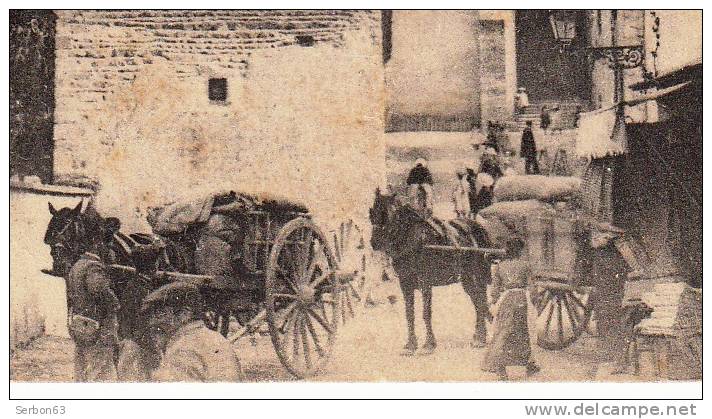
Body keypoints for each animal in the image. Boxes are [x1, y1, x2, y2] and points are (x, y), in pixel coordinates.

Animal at [370, 189, 492, 356]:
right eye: (372, 212)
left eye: (392, 214)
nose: (374, 242)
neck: (414, 240)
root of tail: (477, 226)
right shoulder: (405, 283)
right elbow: (409, 314)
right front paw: (411, 345)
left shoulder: (425, 282)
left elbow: (426, 313)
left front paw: (428, 344)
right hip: (467, 278)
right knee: (478, 302)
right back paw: (479, 337)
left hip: (478, 274)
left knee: (481, 301)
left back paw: (480, 338)